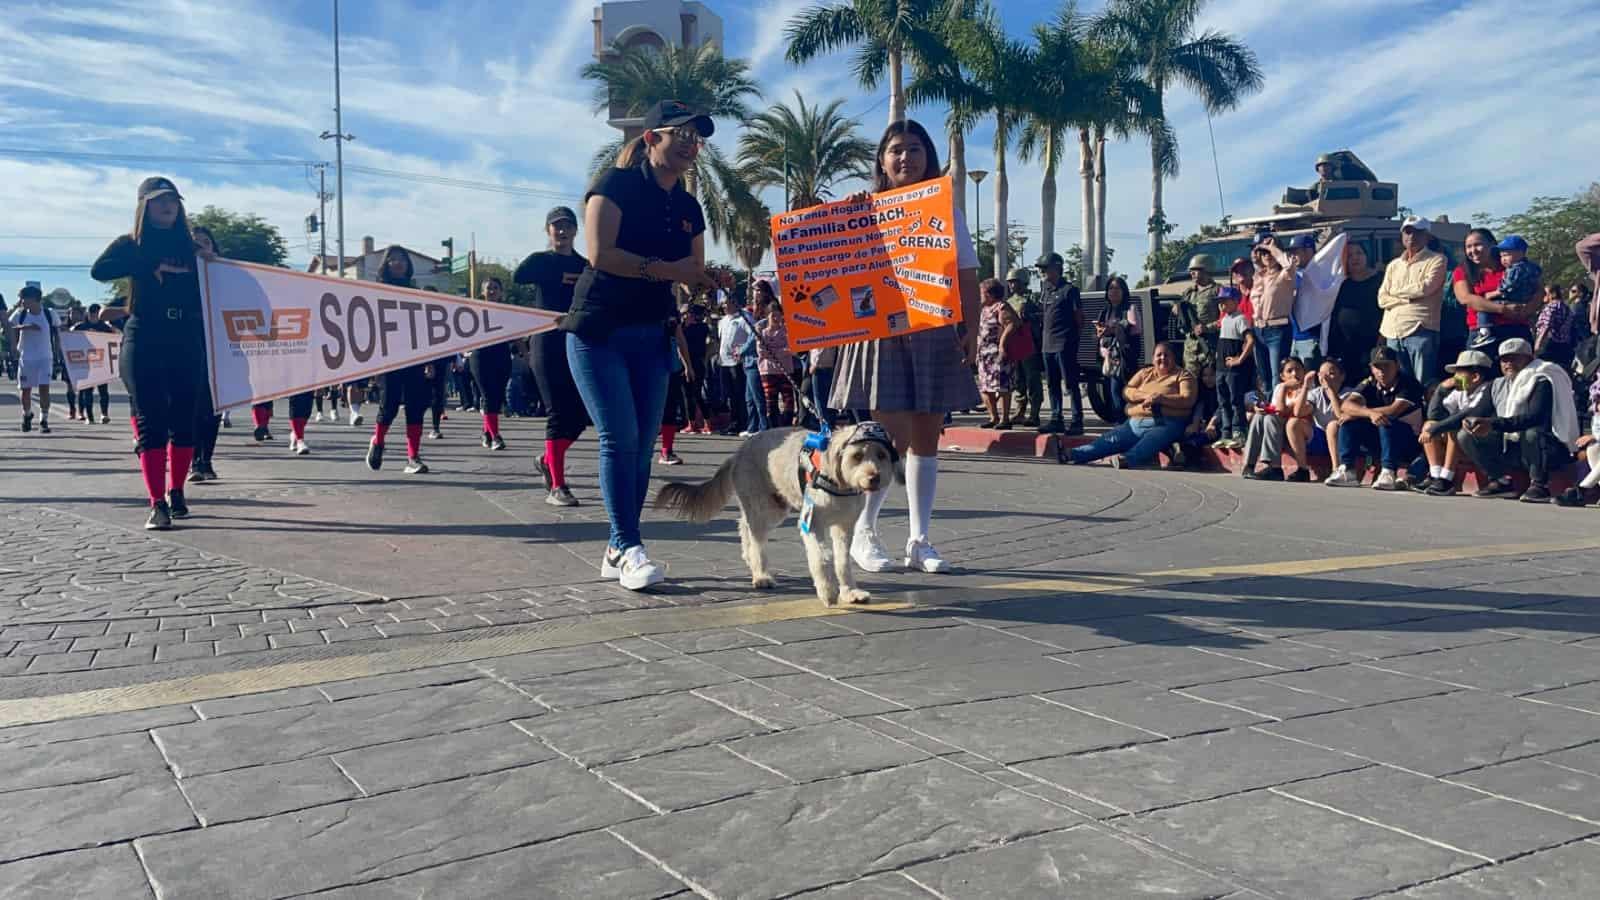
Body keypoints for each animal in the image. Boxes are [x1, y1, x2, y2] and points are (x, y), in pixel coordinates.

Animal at [652, 419, 902, 602]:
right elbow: (821, 557)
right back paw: (761, 574)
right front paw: (828, 591)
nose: (874, 477)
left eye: (881, 455)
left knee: (745, 525)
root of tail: (739, 452)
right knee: (756, 539)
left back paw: (750, 559)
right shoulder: (811, 523)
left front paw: (850, 591)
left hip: (775, 507)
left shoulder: (844, 527)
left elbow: (842, 562)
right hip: (763, 505)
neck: (839, 484)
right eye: (857, 456)